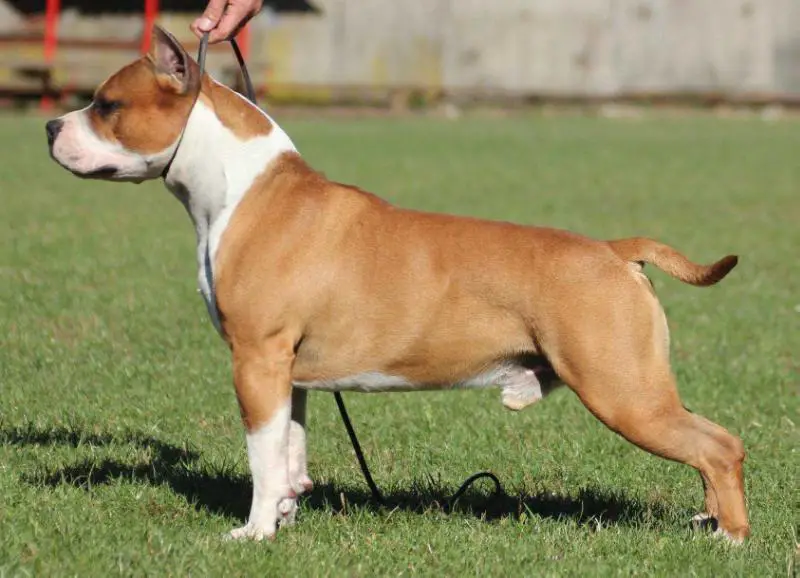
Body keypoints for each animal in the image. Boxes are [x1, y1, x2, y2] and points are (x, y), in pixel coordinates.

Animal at [45, 25, 752, 540]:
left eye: (106, 105)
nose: (49, 126)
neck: (239, 187)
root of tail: (613, 250)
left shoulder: (255, 359)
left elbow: (261, 457)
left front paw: (253, 533)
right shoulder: (287, 372)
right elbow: (289, 449)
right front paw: (287, 517)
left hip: (622, 391)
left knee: (720, 446)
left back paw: (731, 537)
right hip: (633, 388)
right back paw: (709, 521)